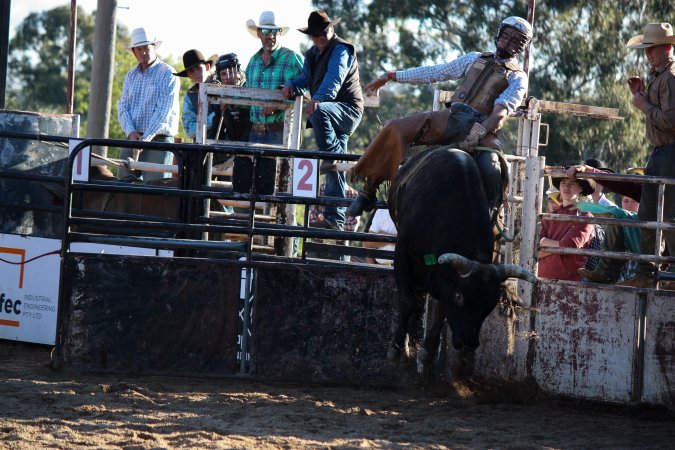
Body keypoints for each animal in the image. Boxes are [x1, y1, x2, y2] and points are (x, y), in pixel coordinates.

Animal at [386, 146, 536, 376]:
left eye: (490, 303)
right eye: (460, 297)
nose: (469, 344)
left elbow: (440, 310)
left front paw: (426, 352)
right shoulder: (402, 249)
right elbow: (407, 300)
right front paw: (396, 350)